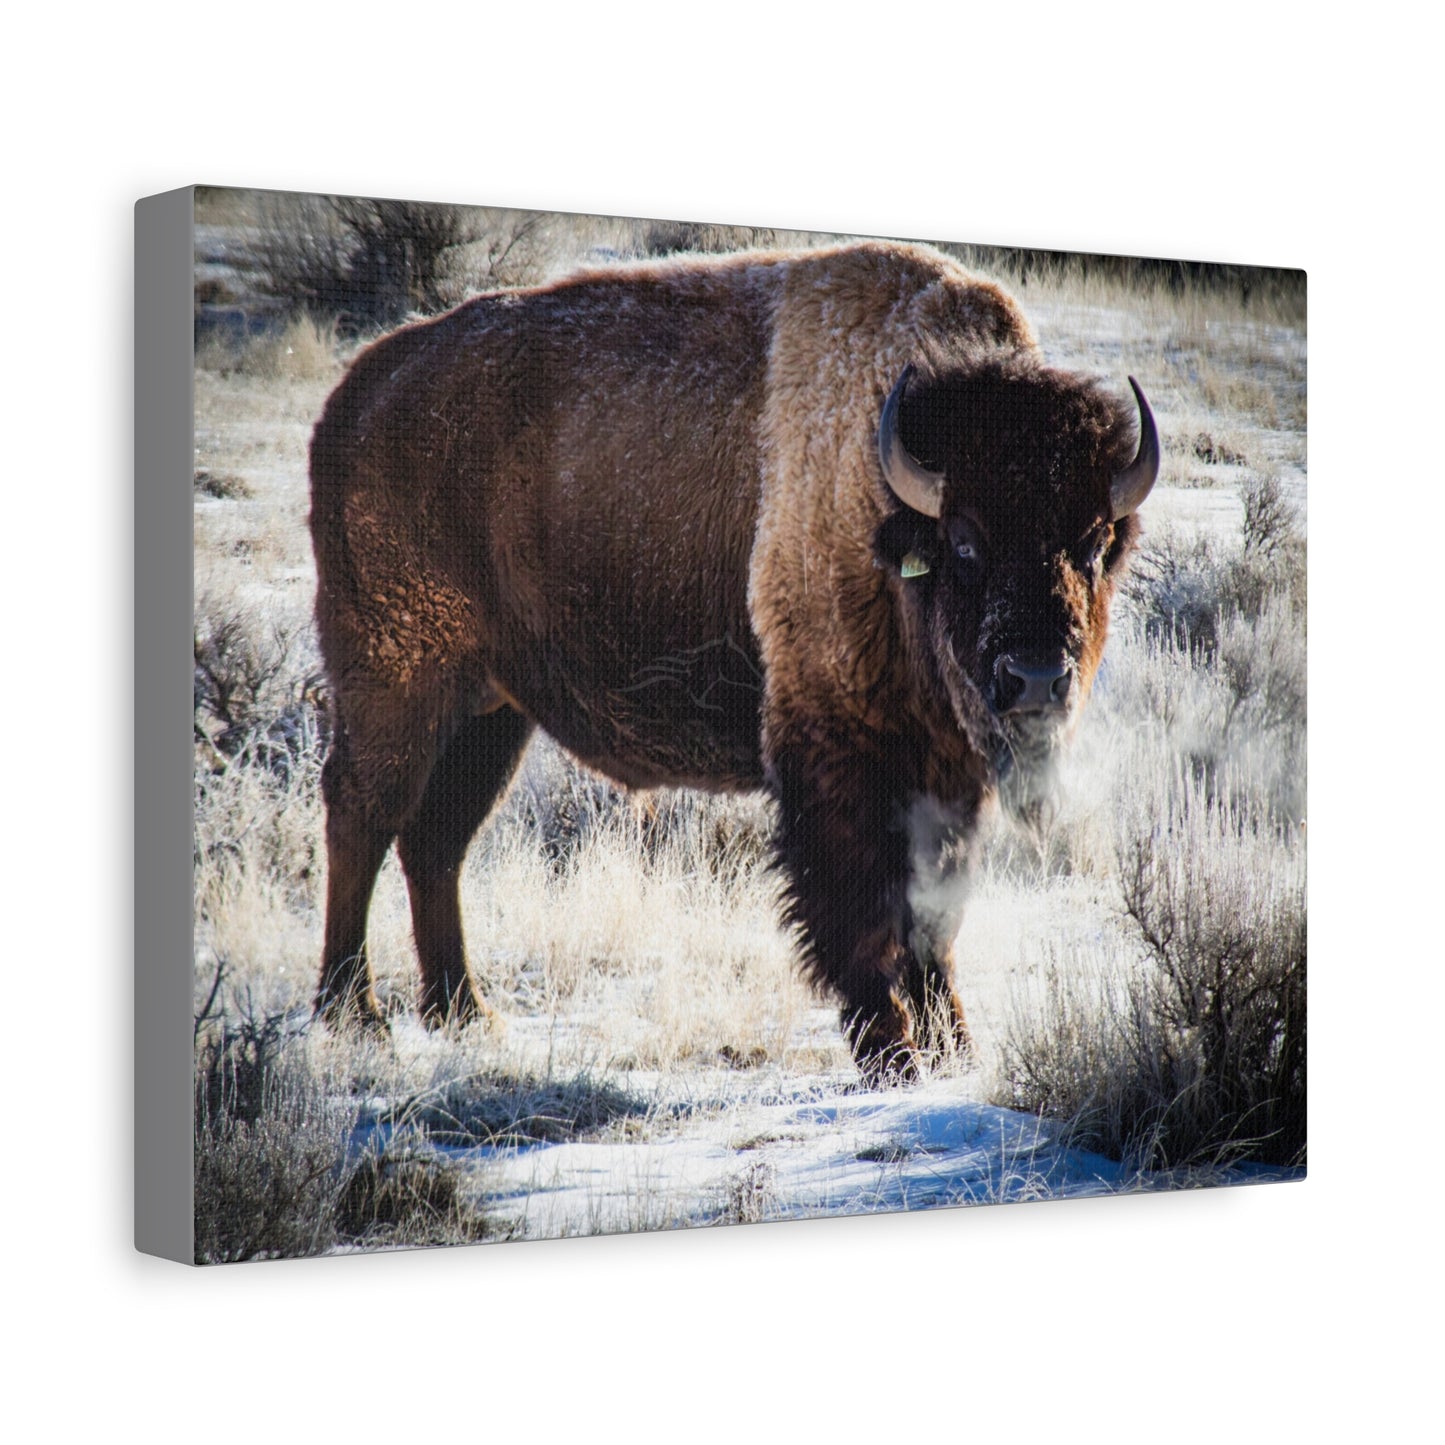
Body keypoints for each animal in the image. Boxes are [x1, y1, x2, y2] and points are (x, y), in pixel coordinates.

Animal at [308, 240, 1157, 1078]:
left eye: (1091, 545)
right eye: (964, 542)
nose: (1034, 678)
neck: (888, 505)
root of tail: (356, 395)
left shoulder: (946, 772)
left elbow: (933, 916)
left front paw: (954, 1050)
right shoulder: (838, 752)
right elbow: (861, 908)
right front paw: (893, 1055)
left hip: (491, 711)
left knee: (435, 840)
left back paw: (462, 1012)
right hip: (396, 681)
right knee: (363, 815)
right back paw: (355, 1014)